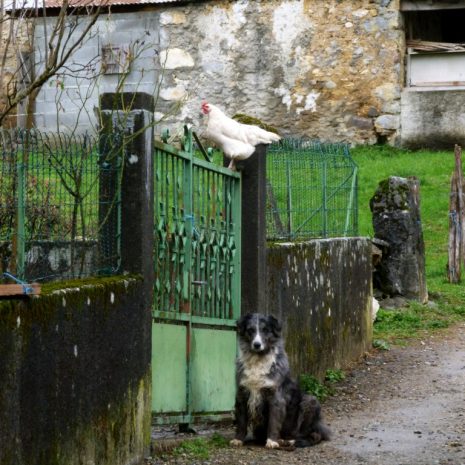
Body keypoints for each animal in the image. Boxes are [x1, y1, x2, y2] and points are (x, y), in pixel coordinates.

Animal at [229, 314, 330, 448]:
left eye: (265, 330)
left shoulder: (276, 397)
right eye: (250, 330)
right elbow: (241, 422)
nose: (257, 344)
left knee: (311, 435)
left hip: (311, 401)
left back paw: (288, 441)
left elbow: (274, 421)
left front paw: (272, 441)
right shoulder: (242, 394)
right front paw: (238, 439)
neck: (258, 359)